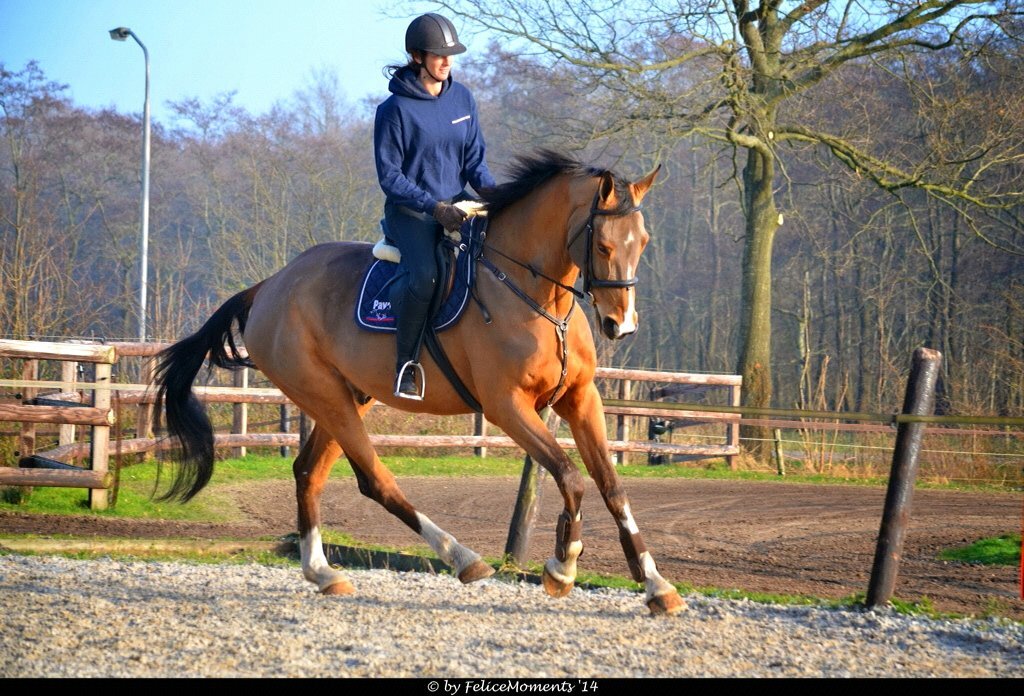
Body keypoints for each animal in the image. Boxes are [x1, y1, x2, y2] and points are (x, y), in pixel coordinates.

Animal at [154, 149, 685, 615]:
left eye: (644, 241)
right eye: (603, 245)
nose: (622, 325)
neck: (537, 297)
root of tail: (270, 285)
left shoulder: (580, 399)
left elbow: (612, 486)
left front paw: (656, 586)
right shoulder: (507, 407)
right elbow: (570, 477)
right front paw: (562, 568)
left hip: (348, 398)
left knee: (309, 472)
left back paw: (323, 572)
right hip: (326, 396)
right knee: (374, 480)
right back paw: (462, 559)